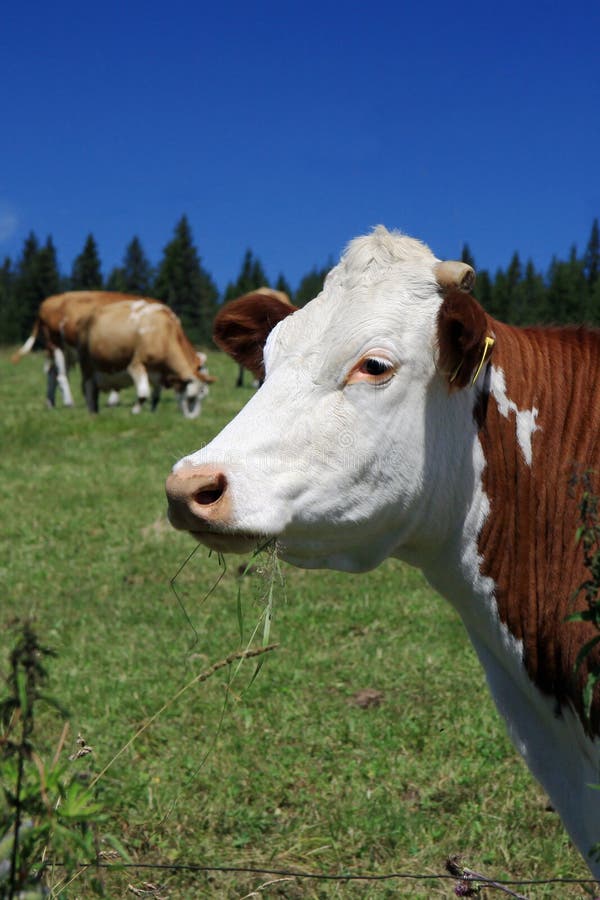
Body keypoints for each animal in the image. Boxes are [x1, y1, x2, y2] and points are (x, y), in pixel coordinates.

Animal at [12, 291, 151, 408]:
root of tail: (46, 303)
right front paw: (113, 401)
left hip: (66, 351)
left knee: (52, 373)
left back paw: (51, 403)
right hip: (56, 345)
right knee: (61, 376)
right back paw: (69, 403)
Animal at [79, 298, 214, 417]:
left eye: (202, 395)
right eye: (191, 397)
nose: (193, 418)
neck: (165, 334)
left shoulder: (158, 374)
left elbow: (156, 398)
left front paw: (152, 414)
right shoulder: (136, 365)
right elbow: (143, 393)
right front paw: (135, 412)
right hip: (87, 366)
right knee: (89, 390)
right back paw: (93, 415)